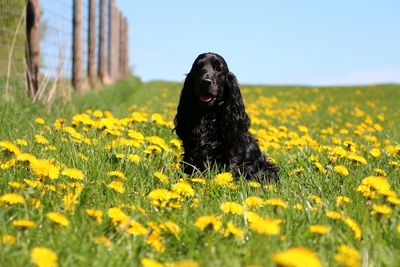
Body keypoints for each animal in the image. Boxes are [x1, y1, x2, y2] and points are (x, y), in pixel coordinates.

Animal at [173, 52, 280, 182]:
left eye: (218, 69)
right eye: (197, 68)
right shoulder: (190, 151)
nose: (205, 82)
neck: (208, 116)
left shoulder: (232, 152)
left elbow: (230, 169)